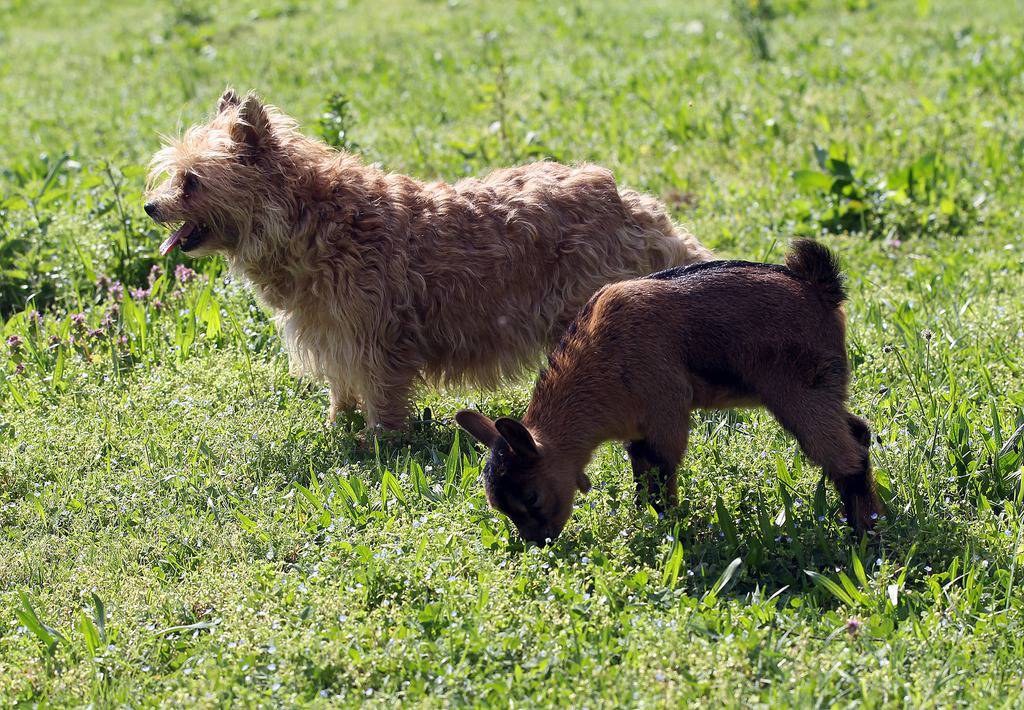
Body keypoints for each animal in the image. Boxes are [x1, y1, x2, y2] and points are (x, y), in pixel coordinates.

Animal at [146, 91, 712, 428]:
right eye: (173, 176)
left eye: (191, 181)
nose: (151, 206)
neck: (312, 217)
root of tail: (632, 205)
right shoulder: (332, 333)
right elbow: (341, 388)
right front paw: (337, 427)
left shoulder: (376, 339)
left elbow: (381, 399)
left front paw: (379, 445)